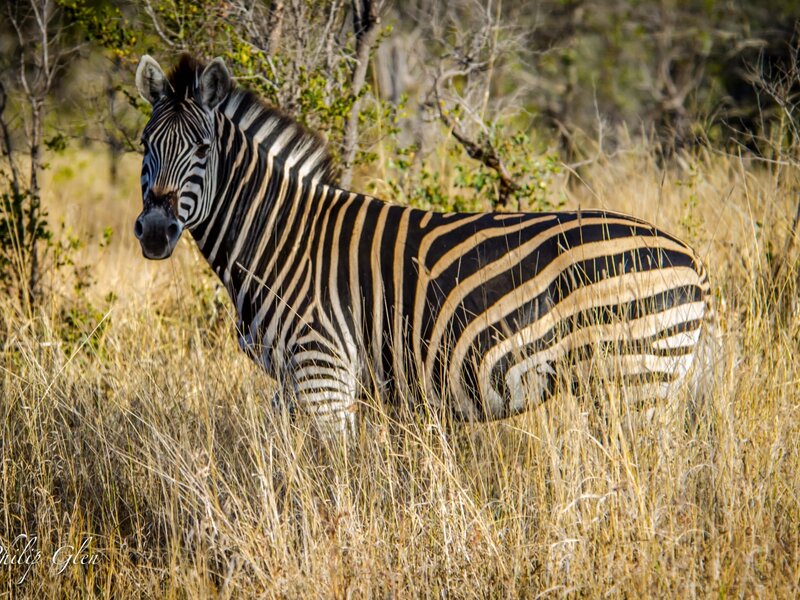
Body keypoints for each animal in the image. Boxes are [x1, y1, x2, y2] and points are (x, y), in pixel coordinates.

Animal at [134, 54, 715, 437]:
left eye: (203, 148)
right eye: (144, 145)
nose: (156, 230)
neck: (279, 237)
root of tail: (691, 258)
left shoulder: (323, 373)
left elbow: (331, 482)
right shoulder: (292, 382)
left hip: (634, 384)